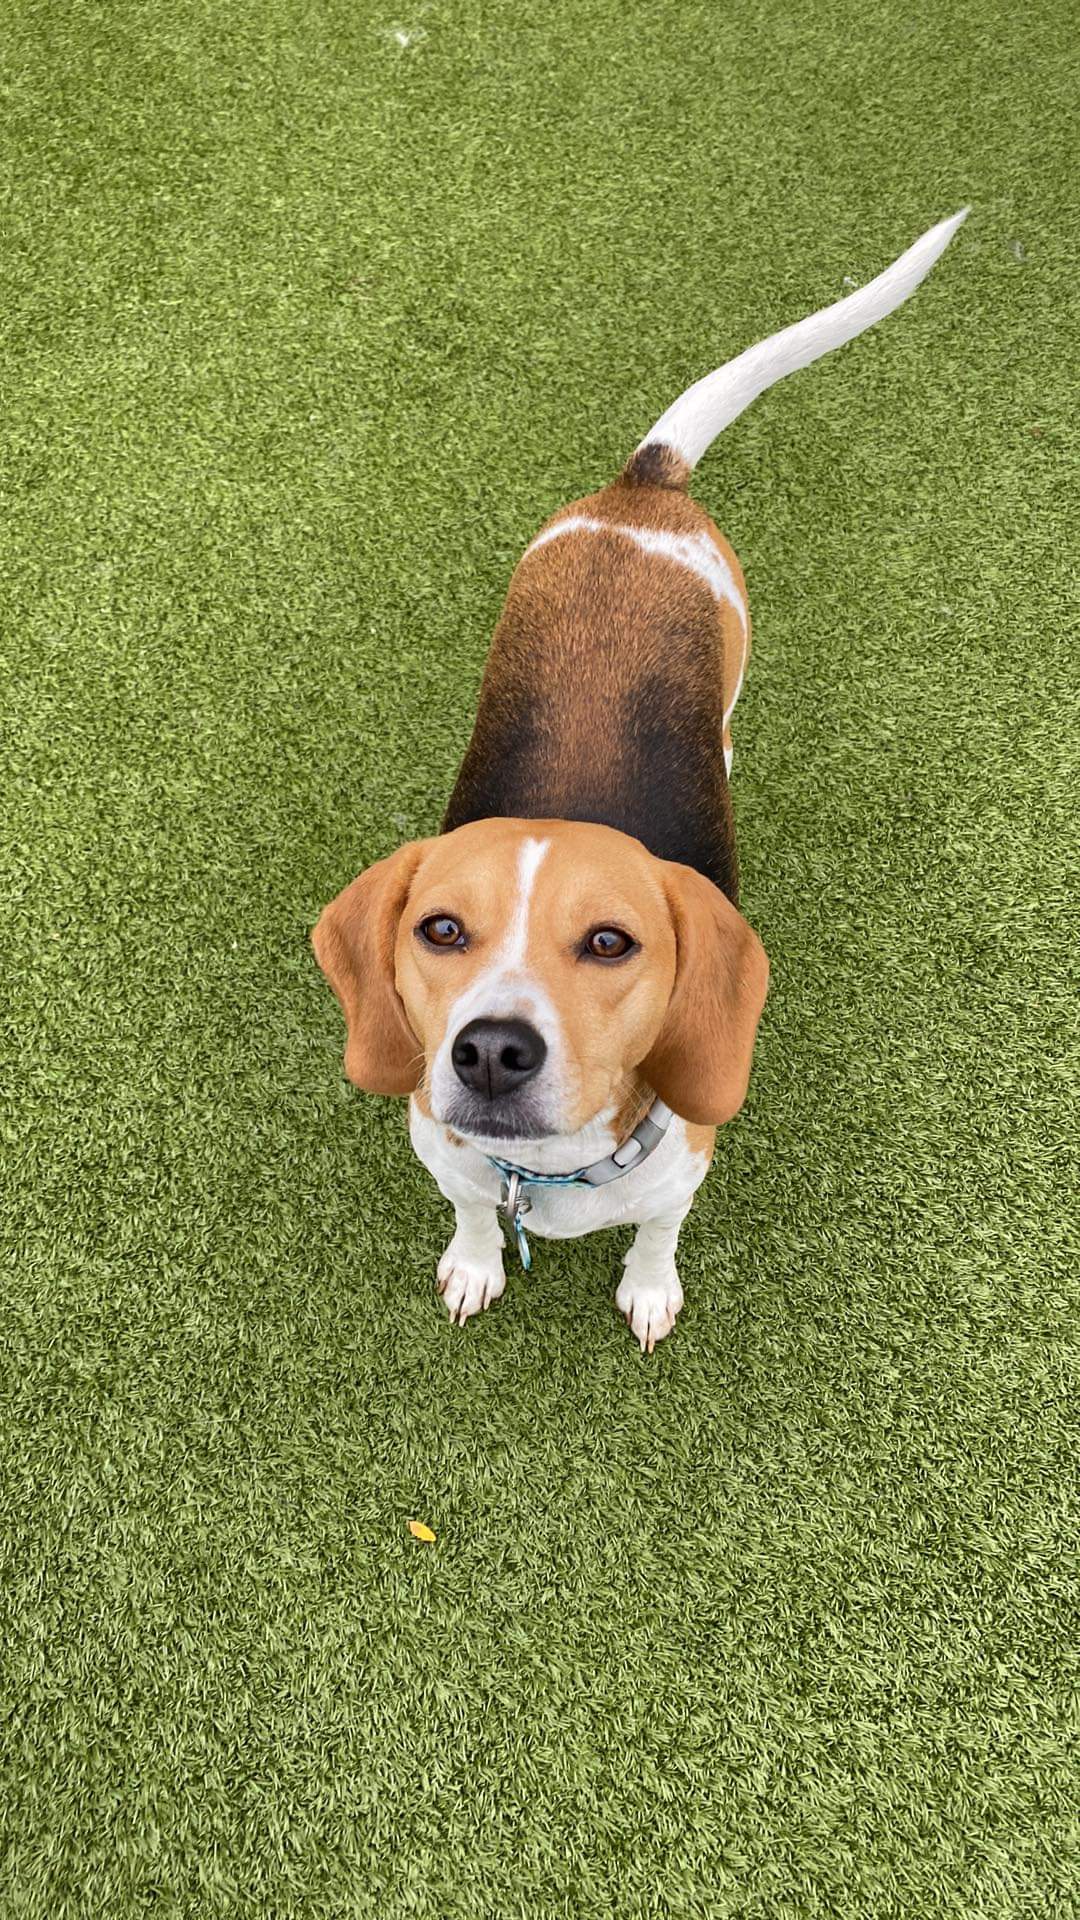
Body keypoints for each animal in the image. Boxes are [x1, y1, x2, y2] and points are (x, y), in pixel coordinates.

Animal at [314, 209, 967, 1351]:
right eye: (440, 929)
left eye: (611, 943)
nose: (489, 1052)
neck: (548, 1171)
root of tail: (645, 490)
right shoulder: (451, 1159)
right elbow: (471, 1214)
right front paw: (475, 1263)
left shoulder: (682, 1173)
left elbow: (658, 1234)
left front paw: (649, 1289)